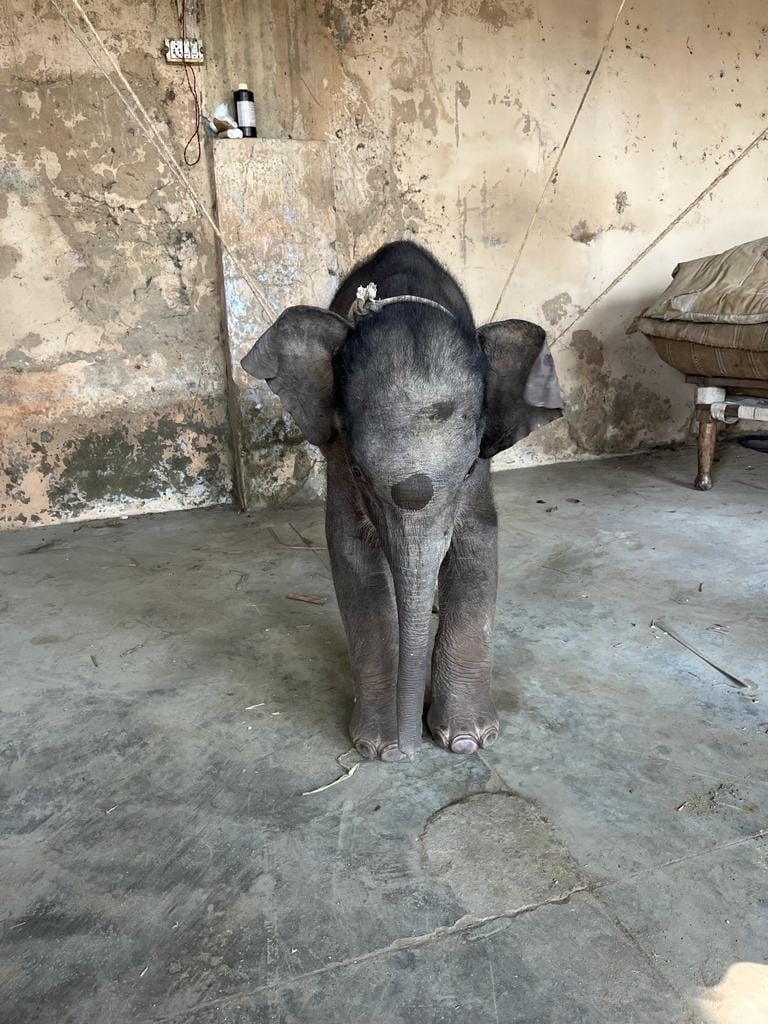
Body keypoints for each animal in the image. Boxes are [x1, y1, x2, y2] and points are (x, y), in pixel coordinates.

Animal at [240, 241, 562, 761]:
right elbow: (351, 553)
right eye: (357, 471)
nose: (410, 752)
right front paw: (378, 746)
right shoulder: (335, 451)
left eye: (467, 470)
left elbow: (477, 542)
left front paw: (468, 740)